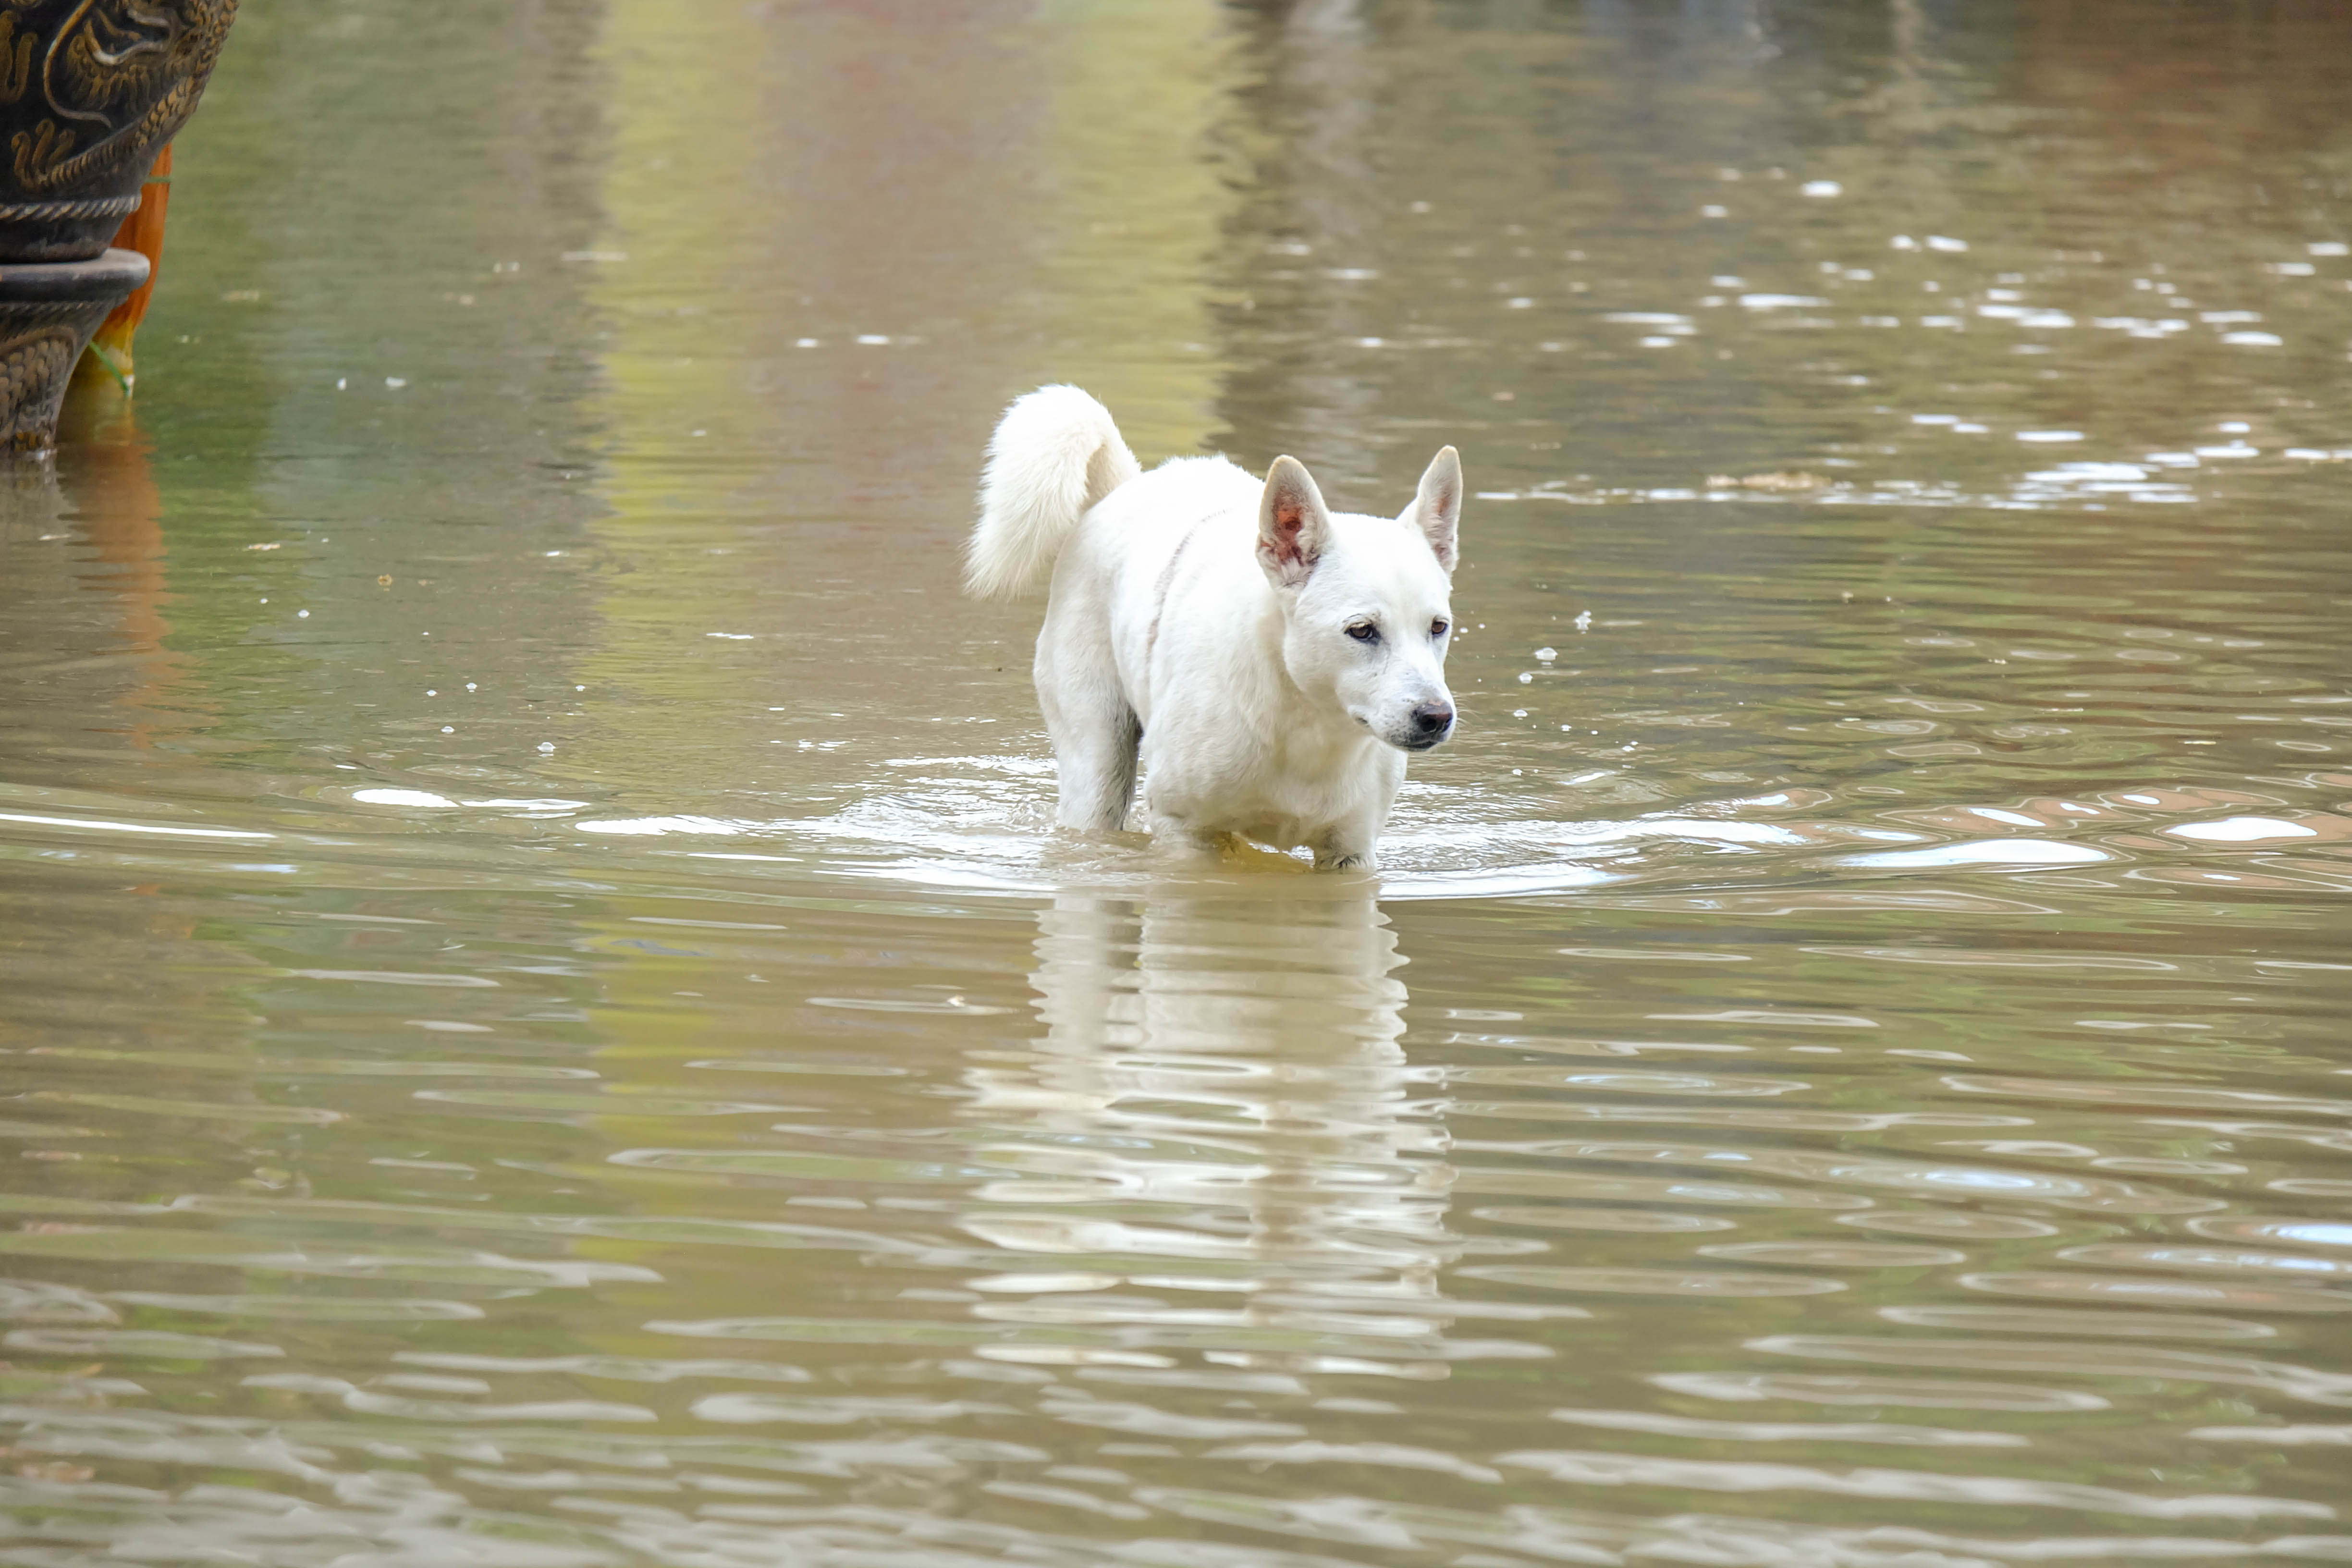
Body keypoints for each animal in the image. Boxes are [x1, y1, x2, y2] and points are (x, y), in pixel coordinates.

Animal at [964, 383, 1458, 870]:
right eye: (1361, 630)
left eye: (1438, 627)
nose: (1437, 717)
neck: (1303, 722)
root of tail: (1123, 487)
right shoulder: (1185, 833)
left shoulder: (1352, 851)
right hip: (1096, 761)